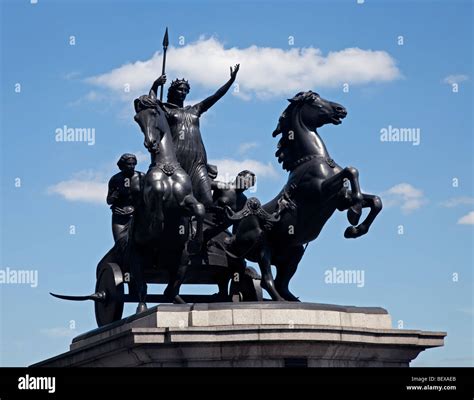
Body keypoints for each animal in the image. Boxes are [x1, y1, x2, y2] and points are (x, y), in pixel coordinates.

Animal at [226, 90, 382, 302]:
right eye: (314, 100)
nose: (342, 109)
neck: (312, 159)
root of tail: (236, 231)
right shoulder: (321, 191)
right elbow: (351, 171)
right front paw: (355, 214)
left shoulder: (339, 199)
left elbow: (375, 200)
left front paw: (354, 230)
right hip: (261, 246)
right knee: (267, 280)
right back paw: (280, 301)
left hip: (294, 252)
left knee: (281, 282)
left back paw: (293, 299)